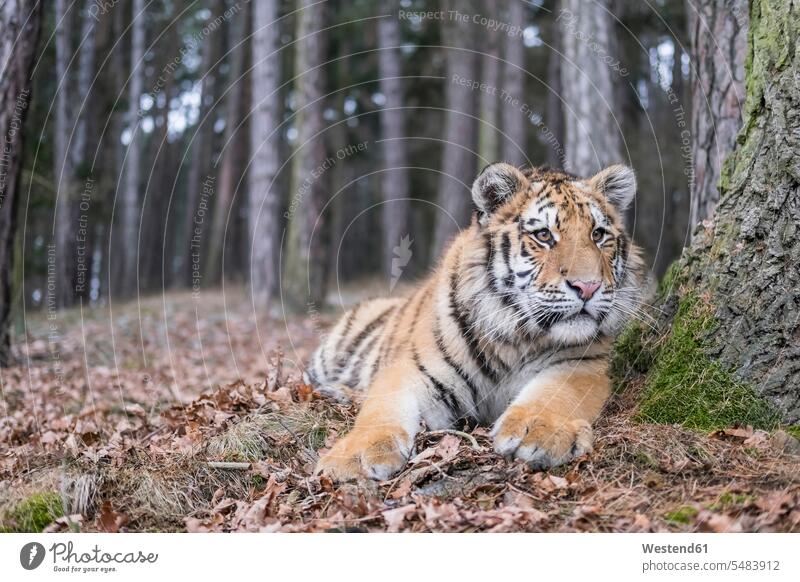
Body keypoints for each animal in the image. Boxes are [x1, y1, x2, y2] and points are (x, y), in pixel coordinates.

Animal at [306, 162, 648, 482]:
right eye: (543, 235)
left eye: (598, 235)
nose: (588, 287)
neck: (516, 337)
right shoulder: (412, 369)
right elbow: (381, 408)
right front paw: (354, 457)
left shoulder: (582, 363)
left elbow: (557, 394)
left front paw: (539, 431)